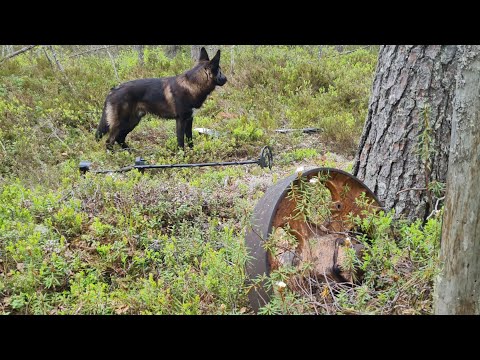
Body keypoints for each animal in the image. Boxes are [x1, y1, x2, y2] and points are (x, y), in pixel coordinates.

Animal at [96, 46, 228, 150]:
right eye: (220, 71)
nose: (226, 79)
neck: (192, 85)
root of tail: (113, 90)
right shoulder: (181, 120)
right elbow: (181, 142)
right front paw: (183, 157)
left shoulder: (189, 119)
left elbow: (190, 140)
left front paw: (193, 154)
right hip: (122, 122)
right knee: (110, 141)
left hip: (133, 121)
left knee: (120, 138)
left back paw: (130, 152)